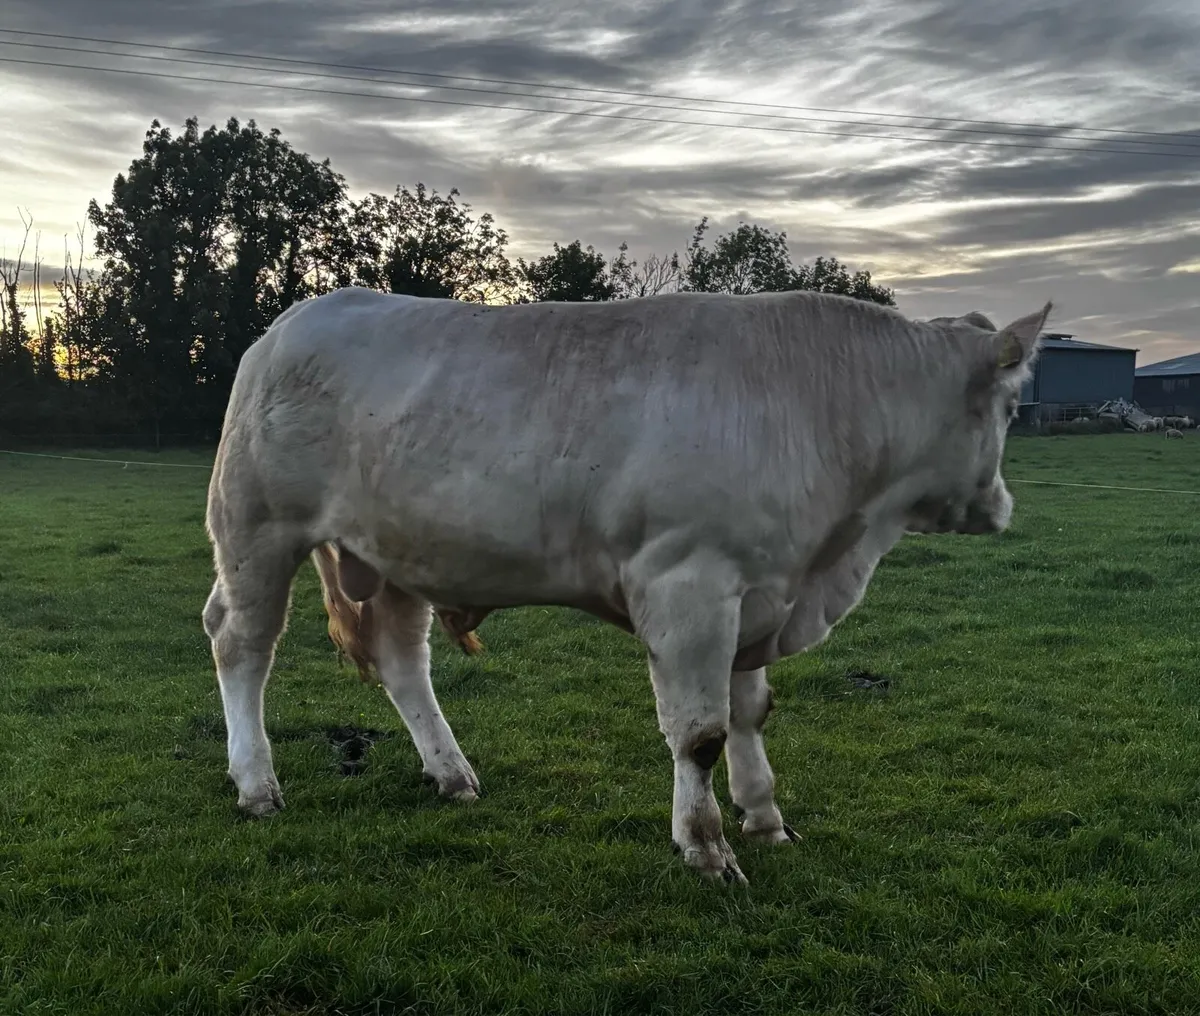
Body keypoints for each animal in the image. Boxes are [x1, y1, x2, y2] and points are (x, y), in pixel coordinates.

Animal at [203, 286, 1050, 886]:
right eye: (1012, 405)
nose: (1003, 508)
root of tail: (292, 320)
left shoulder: (757, 592)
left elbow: (751, 712)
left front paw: (765, 817)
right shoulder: (689, 583)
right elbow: (701, 732)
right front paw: (706, 848)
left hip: (392, 551)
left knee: (403, 661)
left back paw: (452, 773)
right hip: (255, 528)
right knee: (240, 643)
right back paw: (256, 783)